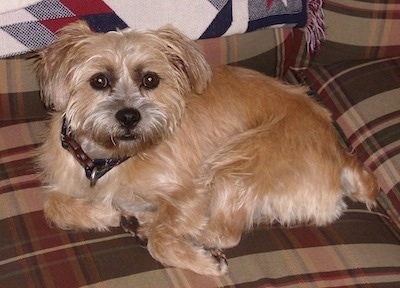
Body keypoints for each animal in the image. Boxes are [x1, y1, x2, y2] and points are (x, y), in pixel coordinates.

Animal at [35, 20, 378, 274]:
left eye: (150, 79)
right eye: (99, 81)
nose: (129, 116)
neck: (108, 160)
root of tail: (341, 154)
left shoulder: (191, 192)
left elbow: (163, 237)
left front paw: (197, 257)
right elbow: (53, 204)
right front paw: (107, 213)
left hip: (237, 161)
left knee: (223, 232)